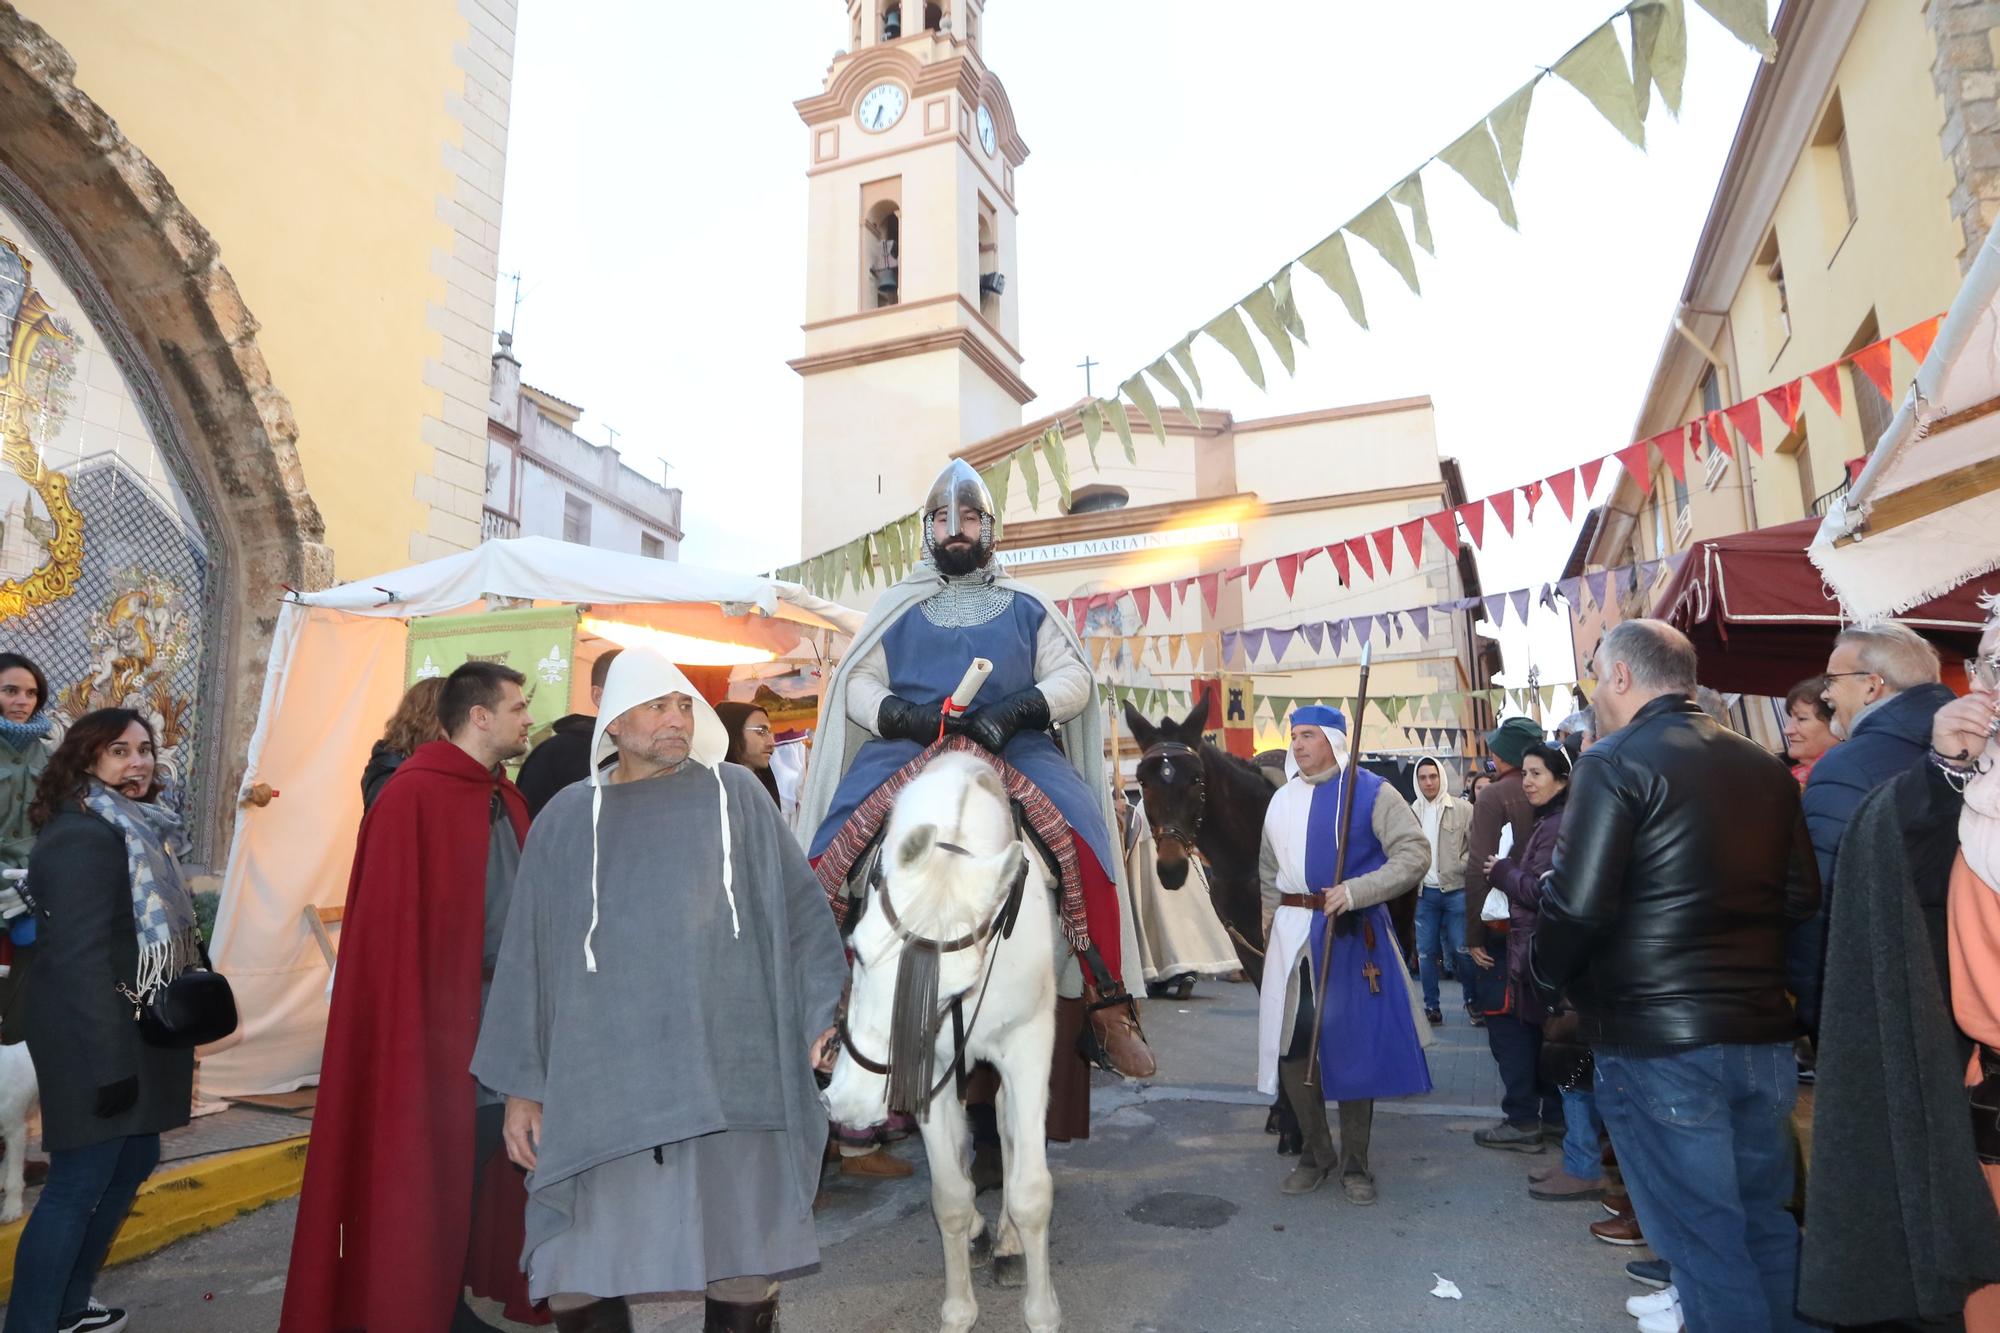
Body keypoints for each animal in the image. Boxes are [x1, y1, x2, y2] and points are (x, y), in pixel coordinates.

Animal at [820, 748, 1064, 1328]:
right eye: (856, 950)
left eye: (952, 989)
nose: (851, 1105)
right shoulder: (927, 1065)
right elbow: (950, 1195)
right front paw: (958, 1307)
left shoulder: (1028, 1044)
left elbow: (1031, 1190)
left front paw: (1041, 1310)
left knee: (1007, 1126)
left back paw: (1009, 1243)